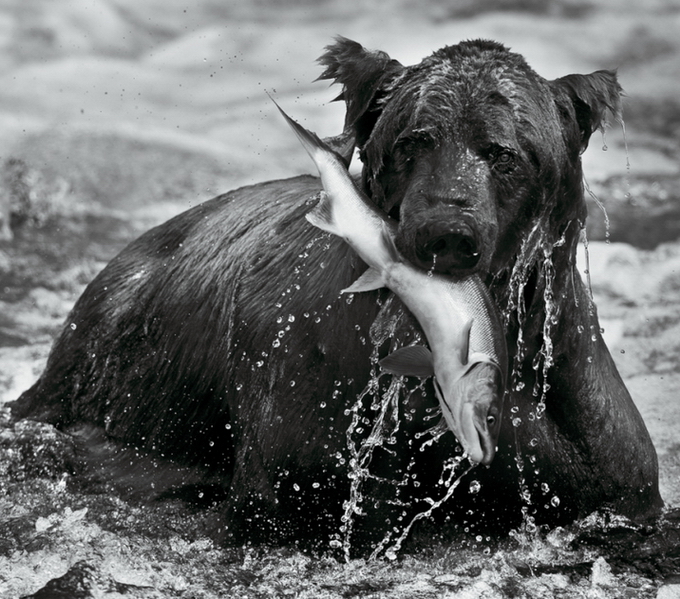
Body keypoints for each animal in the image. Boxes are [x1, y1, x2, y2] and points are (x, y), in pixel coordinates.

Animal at [9, 37, 660, 556]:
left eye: (504, 153)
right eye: (414, 141)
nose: (445, 233)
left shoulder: (582, 453)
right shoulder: (311, 408)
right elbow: (301, 494)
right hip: (108, 376)